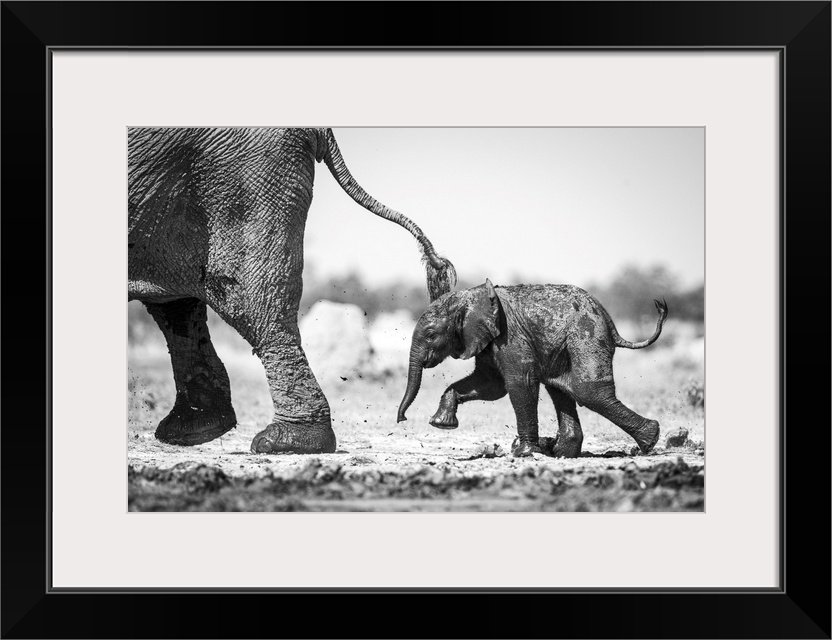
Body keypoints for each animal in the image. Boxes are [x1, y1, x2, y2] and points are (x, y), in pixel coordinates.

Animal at [396, 278, 668, 456]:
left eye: (431, 334)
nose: (402, 419)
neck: (470, 296)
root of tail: (610, 321)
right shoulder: (488, 340)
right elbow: (490, 386)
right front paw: (441, 423)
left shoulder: (510, 335)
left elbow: (519, 383)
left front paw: (524, 453)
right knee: (562, 389)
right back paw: (562, 453)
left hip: (587, 333)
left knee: (589, 391)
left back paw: (650, 441)